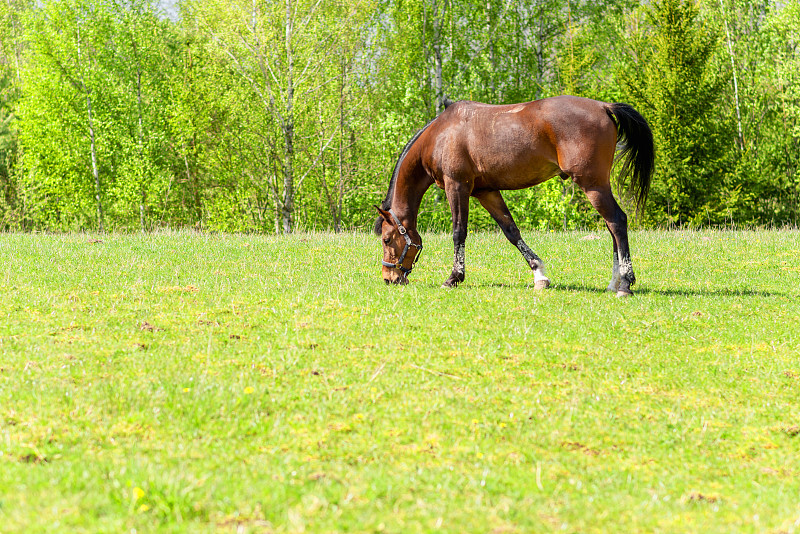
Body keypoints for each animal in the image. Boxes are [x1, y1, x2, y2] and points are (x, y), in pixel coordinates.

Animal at [372, 96, 652, 298]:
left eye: (387, 239)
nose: (388, 278)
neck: (441, 135)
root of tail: (604, 107)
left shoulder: (457, 187)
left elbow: (458, 232)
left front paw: (454, 278)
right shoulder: (486, 191)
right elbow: (511, 231)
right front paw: (539, 275)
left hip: (593, 185)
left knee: (617, 222)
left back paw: (625, 285)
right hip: (597, 186)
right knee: (612, 227)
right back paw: (614, 283)